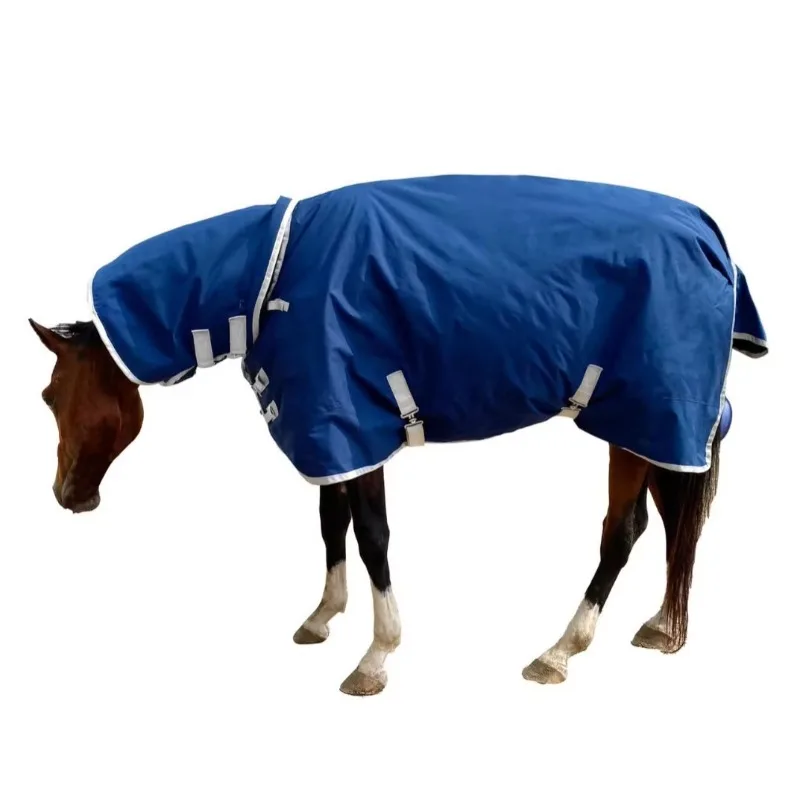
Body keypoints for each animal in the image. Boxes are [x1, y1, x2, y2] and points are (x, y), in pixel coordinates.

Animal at [30, 174, 768, 696]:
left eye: (51, 396)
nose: (67, 495)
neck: (274, 275)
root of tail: (710, 235)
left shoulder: (353, 425)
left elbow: (372, 537)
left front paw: (375, 659)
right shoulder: (328, 429)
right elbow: (330, 526)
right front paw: (322, 616)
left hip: (645, 411)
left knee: (624, 532)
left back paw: (559, 651)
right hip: (655, 422)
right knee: (674, 520)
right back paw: (663, 627)